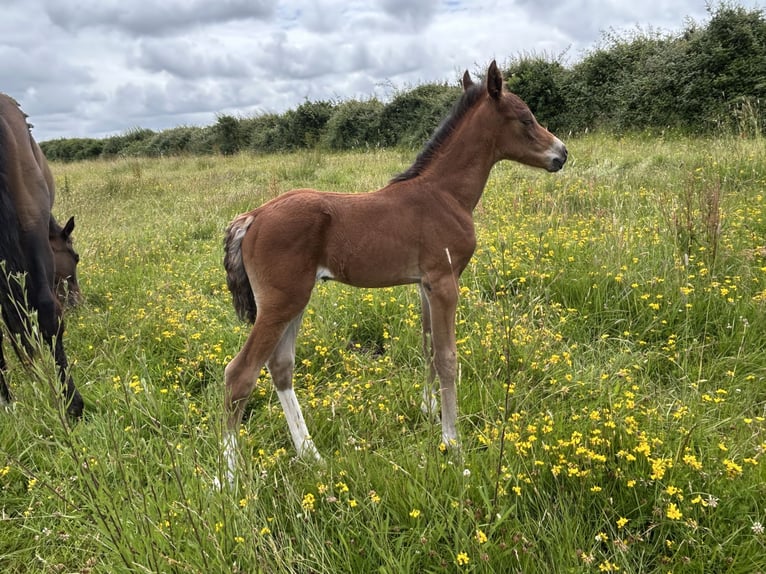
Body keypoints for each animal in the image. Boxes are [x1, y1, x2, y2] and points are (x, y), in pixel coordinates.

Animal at [221, 61, 567, 480]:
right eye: (526, 118)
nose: (562, 153)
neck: (445, 194)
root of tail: (252, 217)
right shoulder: (445, 282)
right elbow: (447, 357)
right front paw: (454, 447)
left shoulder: (425, 285)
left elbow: (428, 346)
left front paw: (429, 412)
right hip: (280, 302)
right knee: (240, 374)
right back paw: (228, 478)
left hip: (294, 300)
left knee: (280, 366)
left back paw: (311, 455)